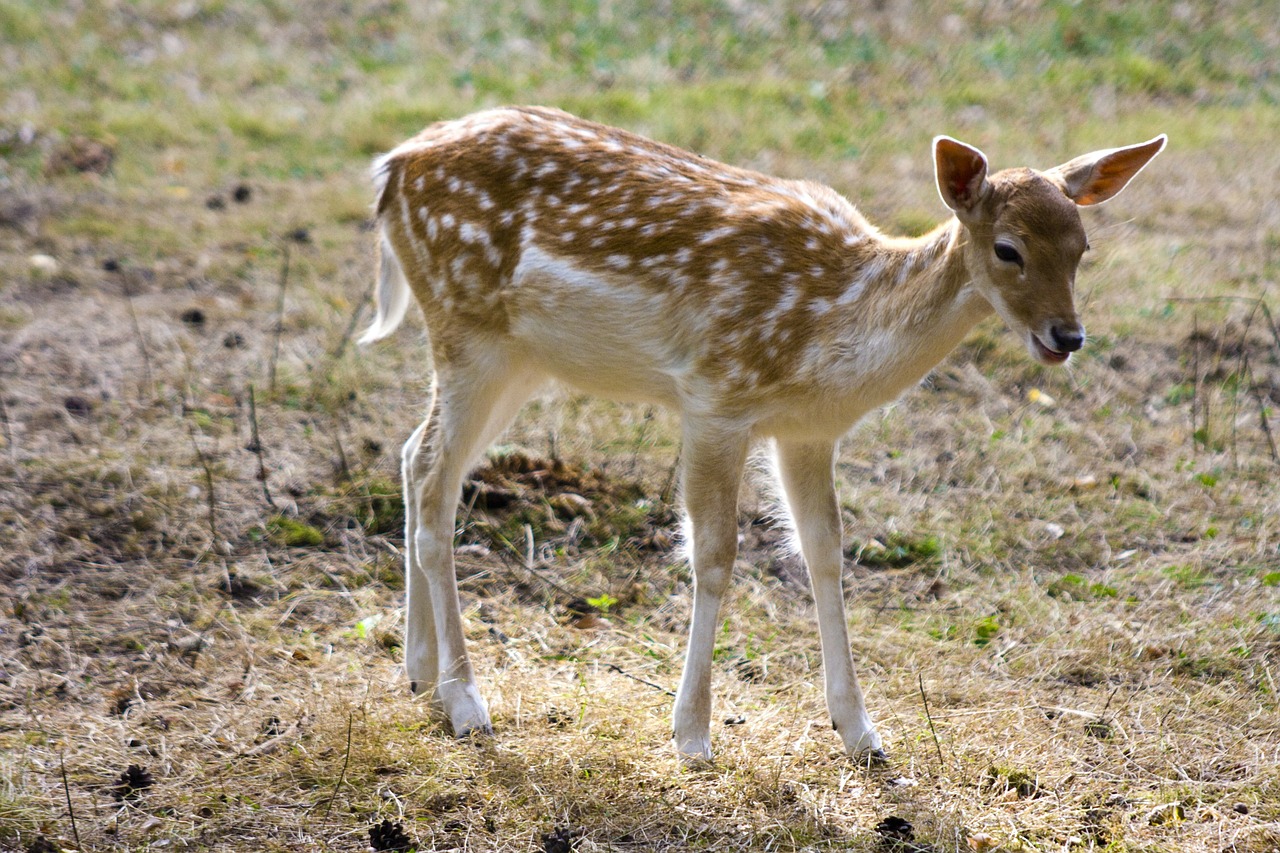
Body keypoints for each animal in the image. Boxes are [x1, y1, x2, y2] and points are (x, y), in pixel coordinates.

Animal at [355, 104, 1167, 758]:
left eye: (1083, 247)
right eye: (1007, 248)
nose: (1067, 336)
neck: (831, 332)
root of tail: (390, 167)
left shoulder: (807, 431)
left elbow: (825, 551)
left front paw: (861, 733)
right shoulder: (714, 396)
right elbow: (715, 554)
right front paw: (691, 735)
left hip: (518, 358)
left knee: (416, 457)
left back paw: (418, 669)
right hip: (468, 326)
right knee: (434, 476)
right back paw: (467, 701)